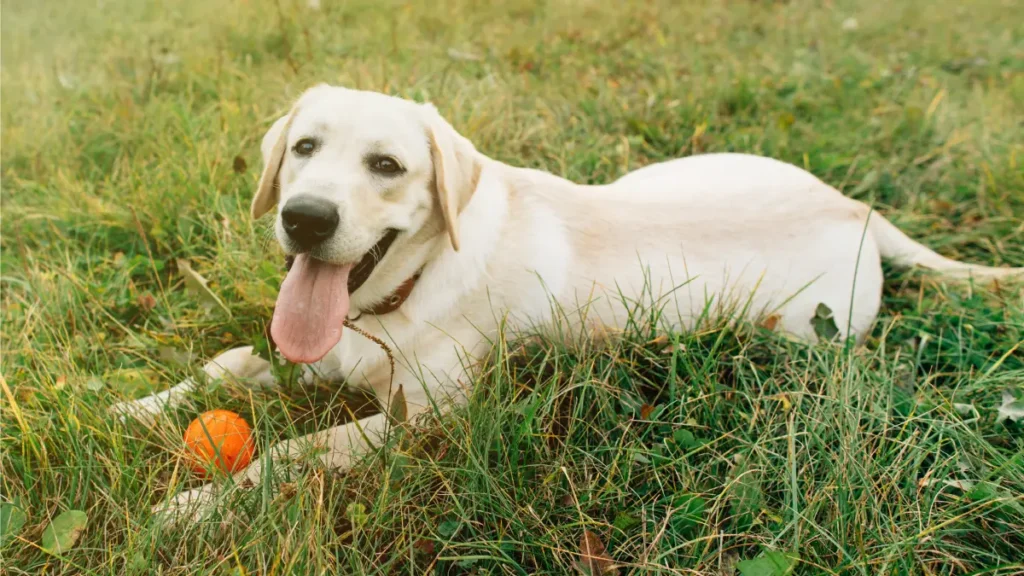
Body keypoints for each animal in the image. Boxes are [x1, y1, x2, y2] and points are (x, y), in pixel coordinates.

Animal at [108, 83, 1019, 518]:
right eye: (303, 148)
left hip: (799, 330)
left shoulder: (422, 423)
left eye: (387, 167)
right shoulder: (320, 351)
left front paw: (196, 506)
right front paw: (128, 407)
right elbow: (229, 362)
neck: (400, 297)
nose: (304, 217)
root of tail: (856, 209)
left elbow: (292, 453)